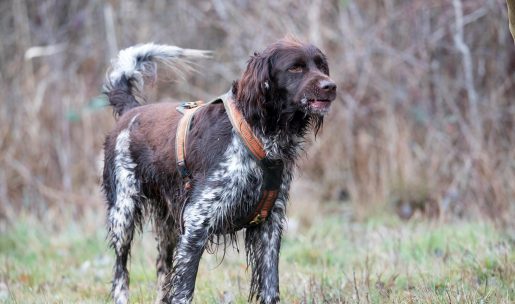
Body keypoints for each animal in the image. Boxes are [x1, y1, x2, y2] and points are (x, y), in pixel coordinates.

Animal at [102, 38, 336, 304]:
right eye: (295, 68)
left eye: (321, 66)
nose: (331, 86)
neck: (256, 133)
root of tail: (131, 111)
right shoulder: (196, 223)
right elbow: (183, 291)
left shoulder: (270, 224)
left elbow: (270, 287)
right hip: (123, 214)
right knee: (121, 272)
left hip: (168, 226)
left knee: (163, 272)